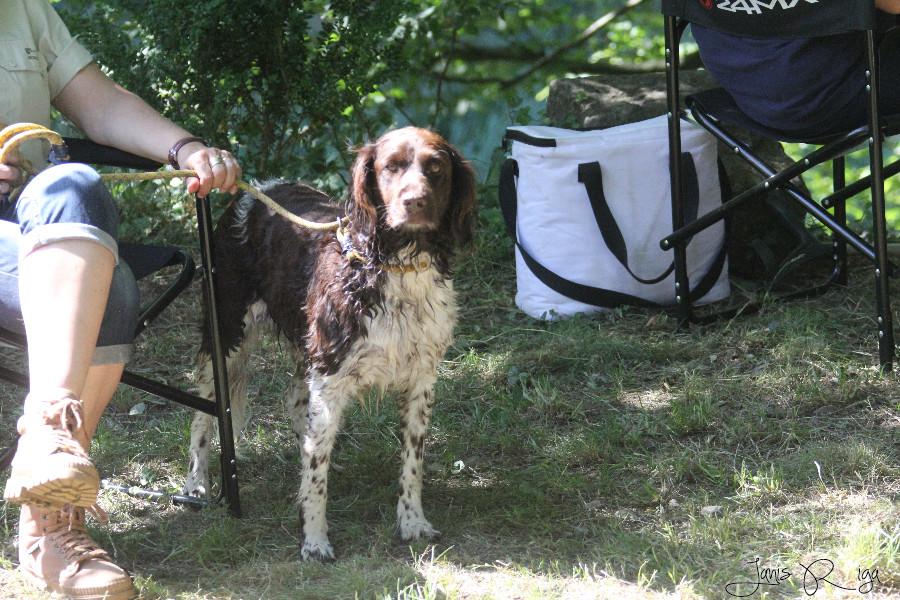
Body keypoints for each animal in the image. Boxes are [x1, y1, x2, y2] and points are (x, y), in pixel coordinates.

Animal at [182, 127, 476, 561]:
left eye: (436, 168)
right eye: (391, 167)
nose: (415, 202)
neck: (396, 265)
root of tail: (253, 190)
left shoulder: (420, 380)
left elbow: (411, 464)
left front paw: (412, 522)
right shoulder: (330, 375)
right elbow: (315, 473)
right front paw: (314, 539)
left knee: (294, 402)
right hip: (228, 333)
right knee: (205, 414)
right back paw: (195, 484)